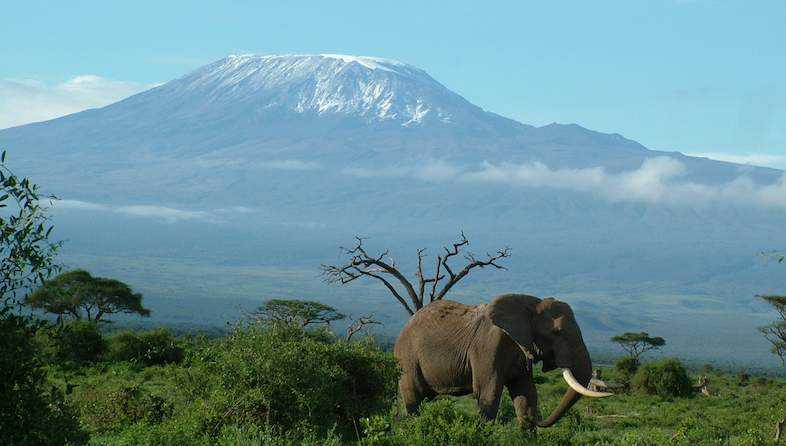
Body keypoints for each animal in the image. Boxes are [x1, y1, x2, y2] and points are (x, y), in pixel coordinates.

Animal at [393, 293, 611, 429]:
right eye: (556, 332)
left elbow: (526, 394)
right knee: (413, 398)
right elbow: (488, 393)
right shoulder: (486, 347)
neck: (531, 303)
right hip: (407, 358)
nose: (538, 420)